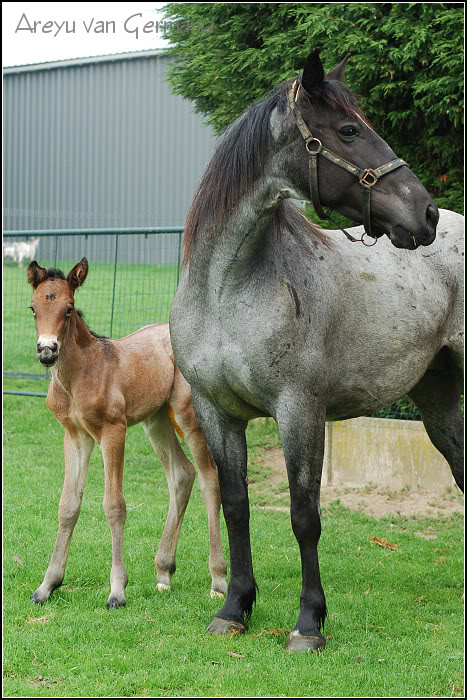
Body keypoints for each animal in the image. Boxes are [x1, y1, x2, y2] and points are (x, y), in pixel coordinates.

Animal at [27, 258, 229, 608]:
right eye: (33, 308)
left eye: (69, 309)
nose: (47, 351)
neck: (81, 374)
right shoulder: (75, 436)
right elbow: (68, 506)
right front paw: (47, 585)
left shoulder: (113, 431)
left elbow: (114, 506)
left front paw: (117, 591)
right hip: (157, 421)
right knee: (182, 474)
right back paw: (163, 572)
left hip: (189, 418)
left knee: (209, 477)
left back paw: (218, 579)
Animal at [169, 49, 464, 652]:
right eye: (349, 131)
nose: (425, 213)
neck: (226, 291)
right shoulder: (217, 412)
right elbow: (235, 505)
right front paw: (234, 608)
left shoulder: (299, 411)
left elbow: (305, 516)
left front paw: (309, 623)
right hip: (438, 401)